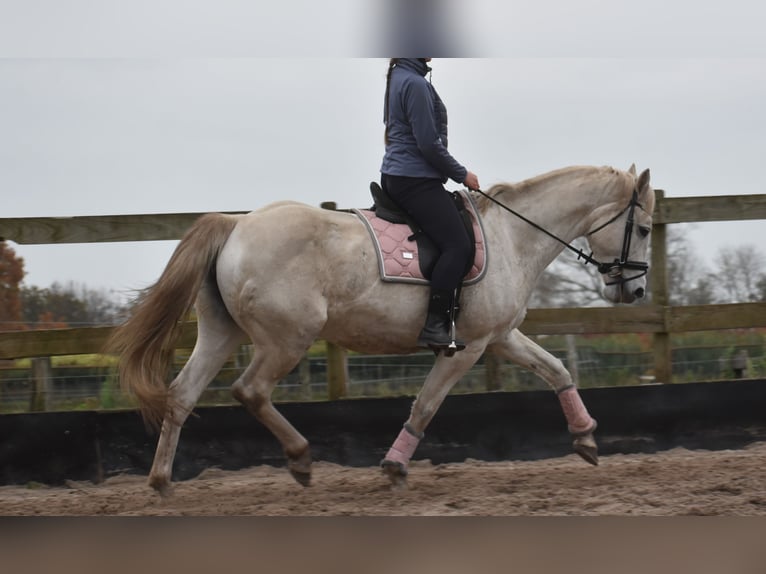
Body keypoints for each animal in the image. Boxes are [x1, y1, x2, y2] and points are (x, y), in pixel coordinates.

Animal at [108, 164, 656, 498]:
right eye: (647, 229)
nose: (634, 291)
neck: (513, 237)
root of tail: (236, 225)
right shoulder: (465, 347)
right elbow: (426, 405)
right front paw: (394, 466)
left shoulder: (497, 337)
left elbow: (557, 369)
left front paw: (586, 438)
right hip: (287, 339)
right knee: (251, 390)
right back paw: (300, 458)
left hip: (222, 335)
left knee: (182, 395)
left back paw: (162, 481)